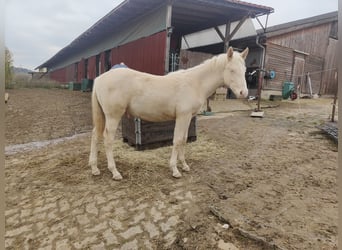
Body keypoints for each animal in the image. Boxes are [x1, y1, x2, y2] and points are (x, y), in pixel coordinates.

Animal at [88, 47, 248, 180]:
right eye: (232, 70)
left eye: (245, 70)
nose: (243, 93)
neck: (195, 82)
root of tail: (100, 78)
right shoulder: (182, 116)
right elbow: (177, 140)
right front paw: (175, 170)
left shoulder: (188, 117)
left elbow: (184, 139)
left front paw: (184, 165)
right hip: (113, 116)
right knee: (107, 139)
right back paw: (114, 171)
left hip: (104, 116)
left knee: (95, 135)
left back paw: (94, 168)